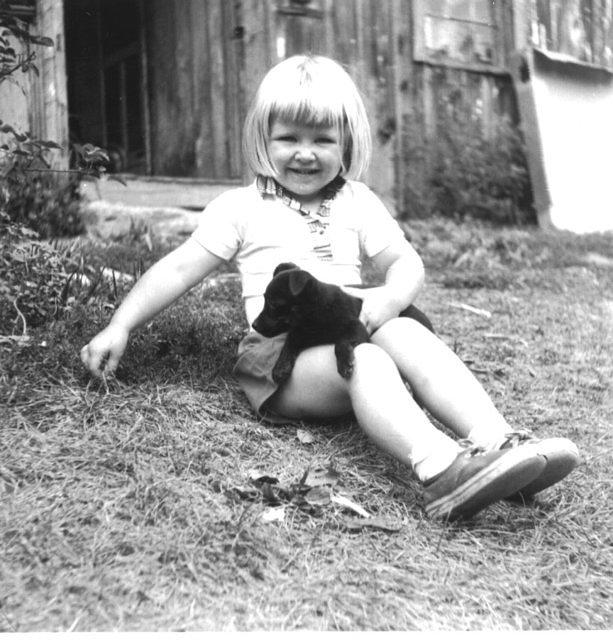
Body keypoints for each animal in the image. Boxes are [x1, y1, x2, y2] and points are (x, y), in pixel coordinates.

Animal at [252, 262, 436, 382]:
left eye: (273, 304)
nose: (253, 325)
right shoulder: (302, 333)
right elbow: (289, 343)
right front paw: (281, 367)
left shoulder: (357, 328)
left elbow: (340, 343)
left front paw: (345, 364)